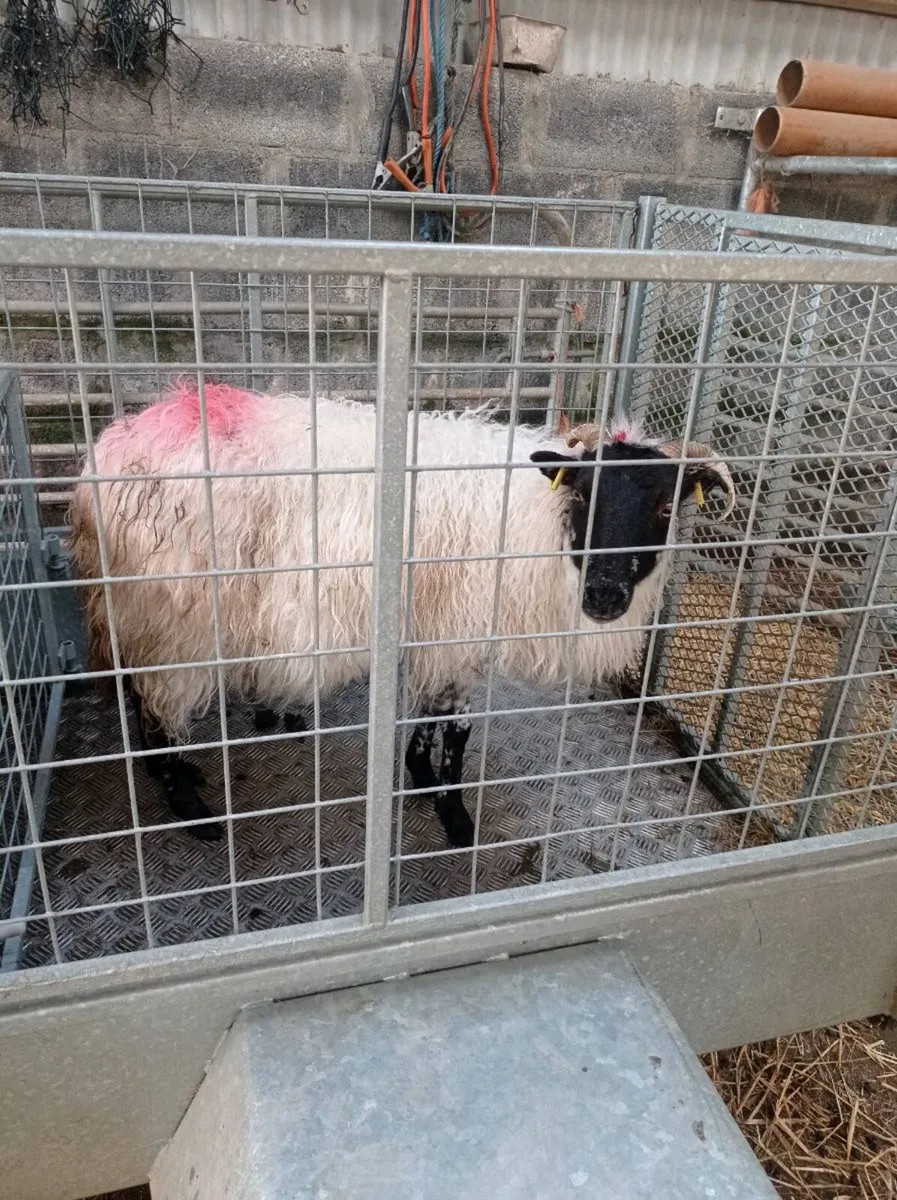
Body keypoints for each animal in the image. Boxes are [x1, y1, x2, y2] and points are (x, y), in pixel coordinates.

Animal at [69, 380, 735, 847]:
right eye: (585, 493)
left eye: (665, 507)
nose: (604, 595)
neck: (532, 523)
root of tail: (116, 445)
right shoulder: (460, 627)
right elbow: (457, 726)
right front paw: (454, 814)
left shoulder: (439, 630)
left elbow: (431, 716)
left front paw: (419, 772)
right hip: (168, 615)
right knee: (154, 707)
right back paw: (191, 808)